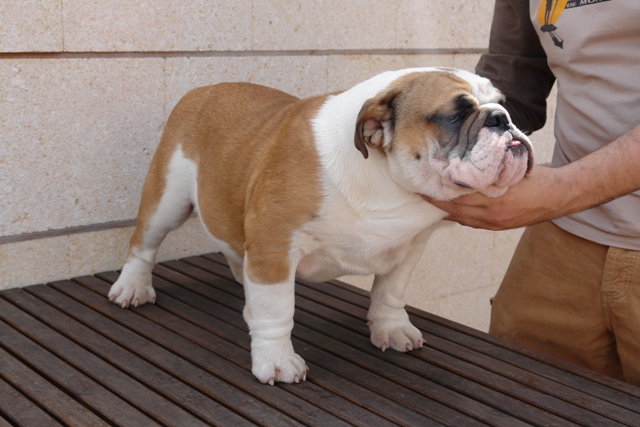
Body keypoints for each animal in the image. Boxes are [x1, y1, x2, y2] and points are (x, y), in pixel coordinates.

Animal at [108, 67, 533, 385]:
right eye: (453, 115)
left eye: (504, 105)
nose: (502, 120)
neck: (389, 185)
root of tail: (203, 90)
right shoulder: (274, 245)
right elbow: (276, 310)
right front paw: (277, 360)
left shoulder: (411, 247)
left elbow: (391, 294)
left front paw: (391, 328)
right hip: (167, 197)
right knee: (143, 244)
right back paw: (133, 287)